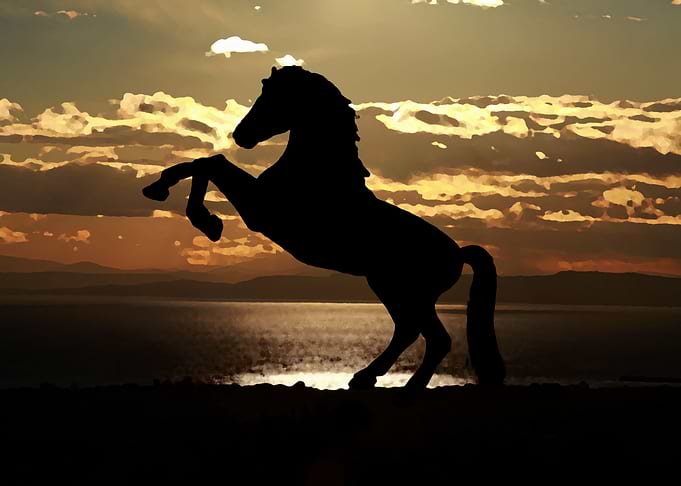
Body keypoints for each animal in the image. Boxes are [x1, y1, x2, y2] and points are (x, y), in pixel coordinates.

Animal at [142, 65, 505, 389]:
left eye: (273, 97)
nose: (241, 135)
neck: (317, 171)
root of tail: (458, 253)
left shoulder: (259, 209)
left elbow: (211, 163)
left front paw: (205, 220)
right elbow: (204, 163)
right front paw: (160, 190)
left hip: (404, 291)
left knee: (432, 337)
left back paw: (404, 386)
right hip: (393, 289)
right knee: (410, 331)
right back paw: (366, 378)